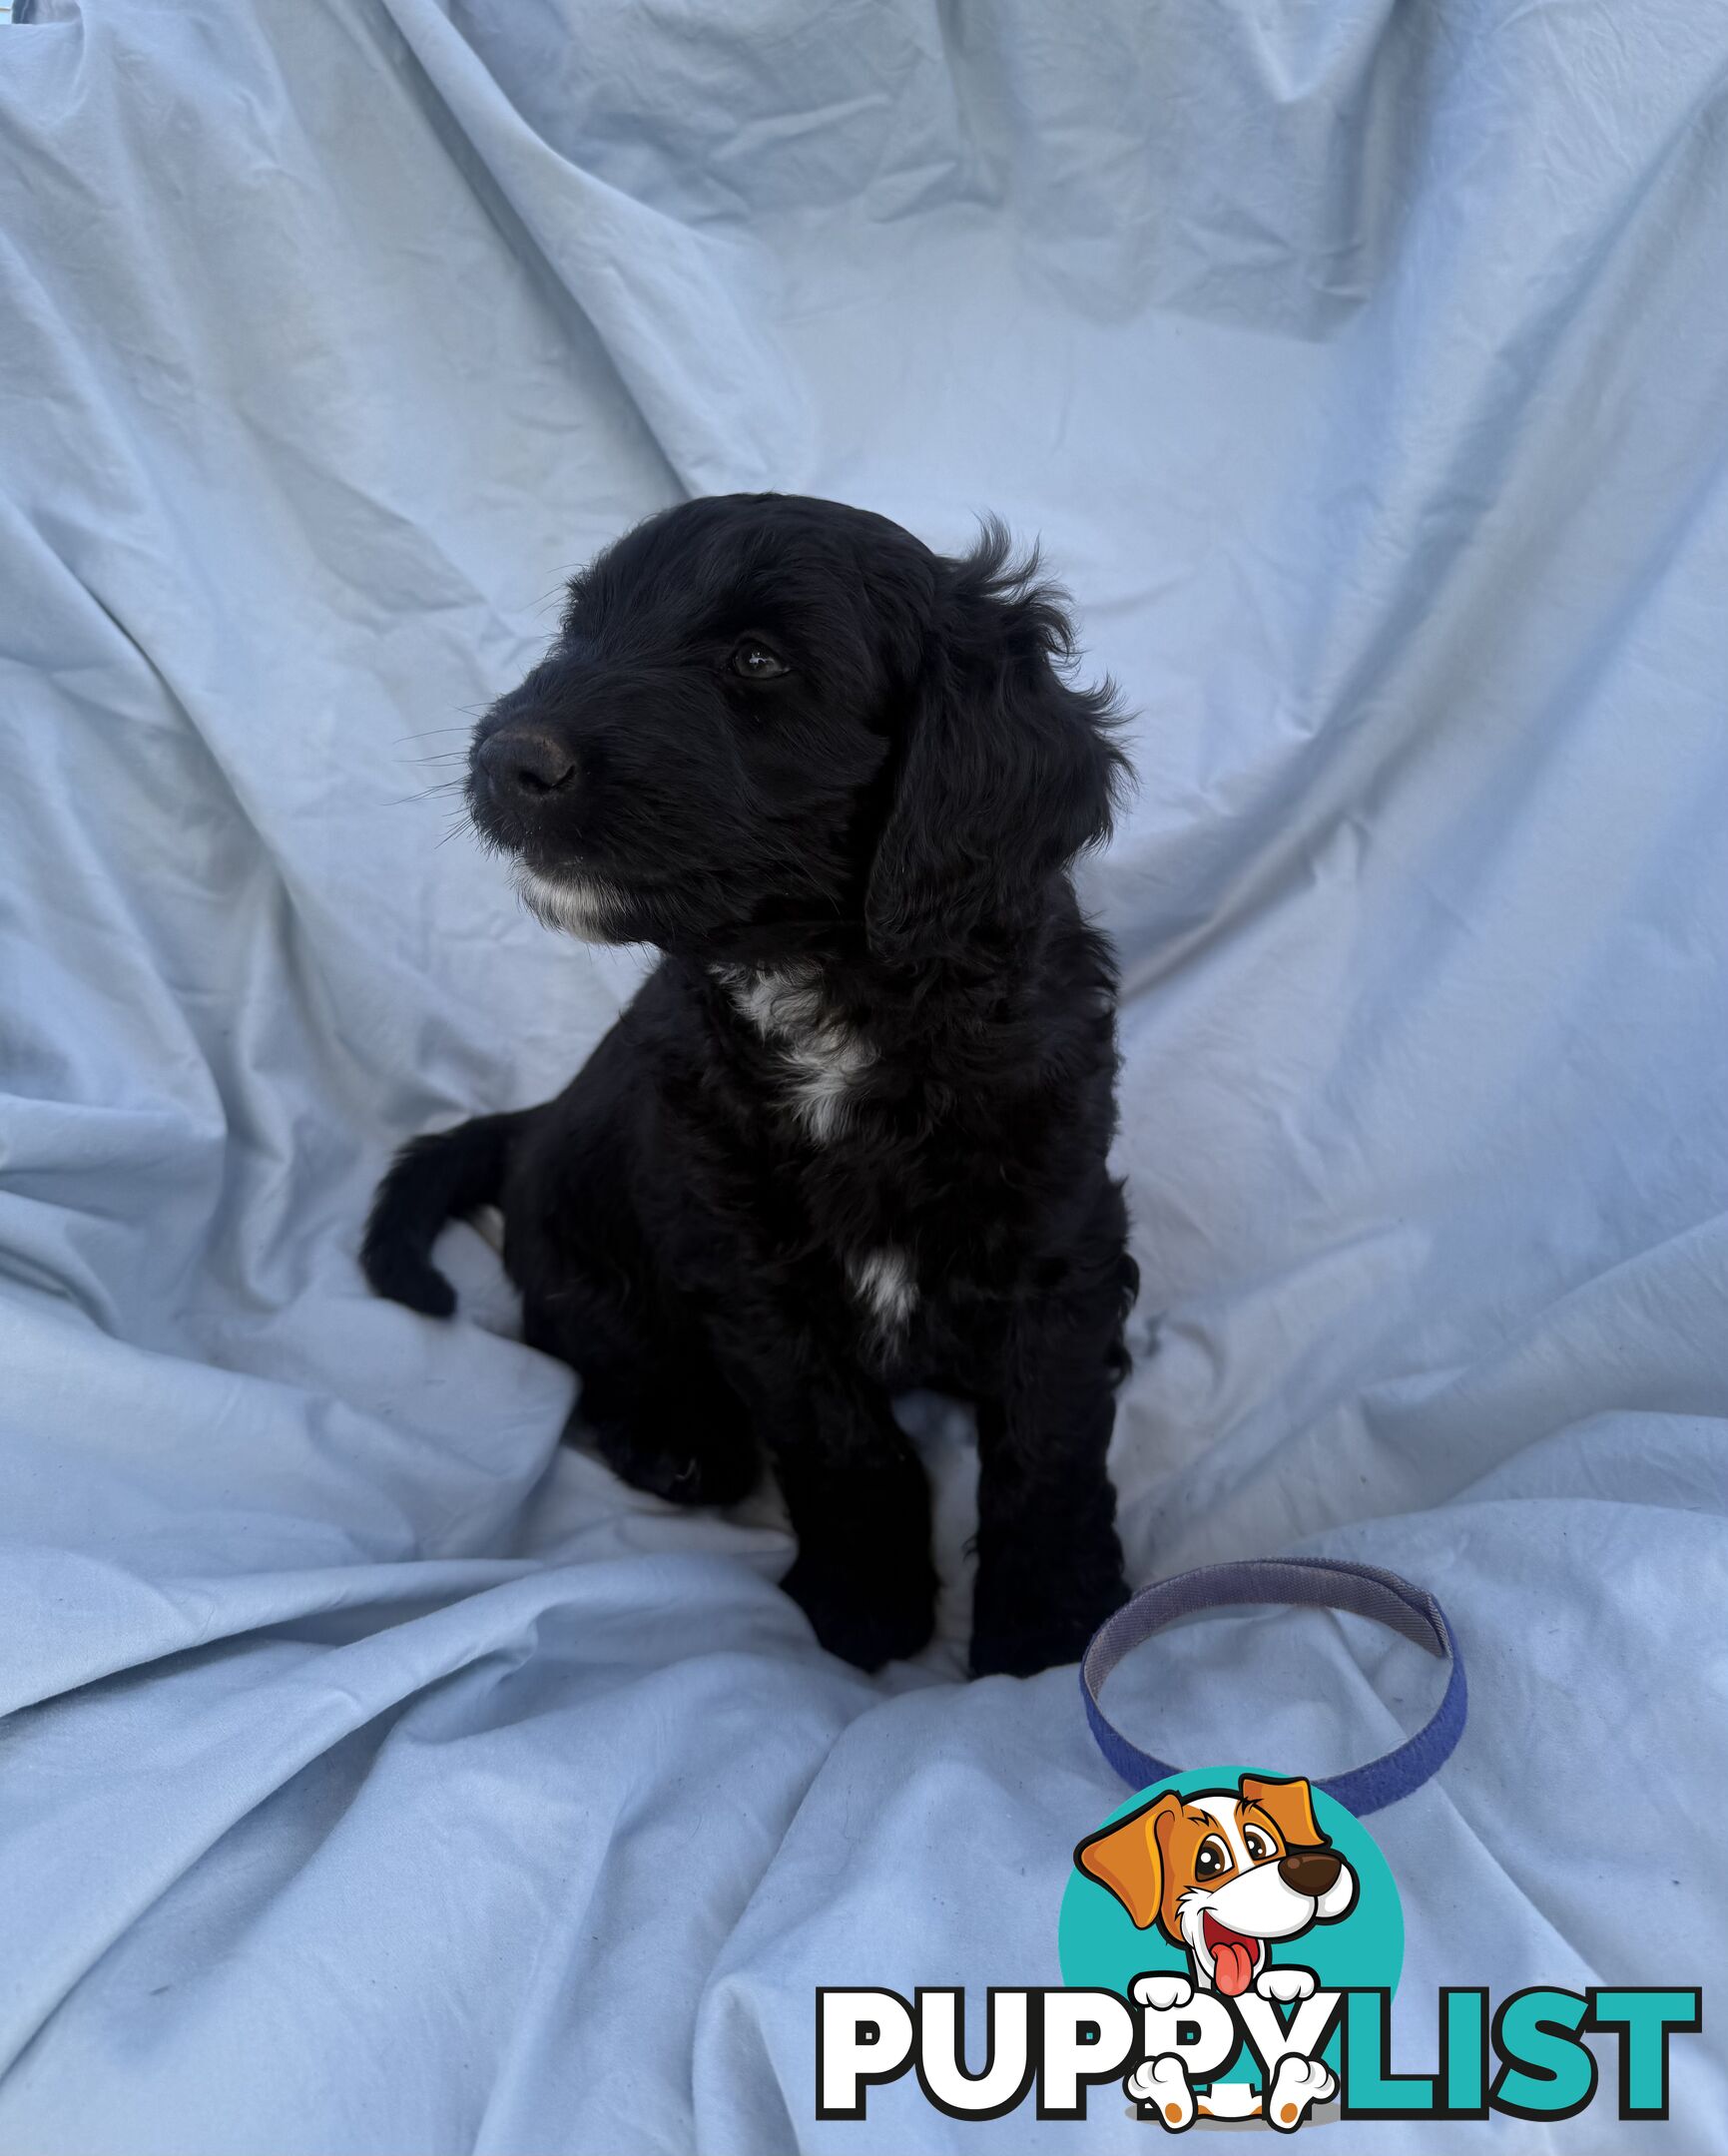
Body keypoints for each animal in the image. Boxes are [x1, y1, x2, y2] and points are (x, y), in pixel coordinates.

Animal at [364, 495, 1139, 1673]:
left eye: (757, 660)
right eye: (583, 626)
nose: (506, 757)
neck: (828, 994)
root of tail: (533, 1121)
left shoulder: (1055, 1226)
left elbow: (1050, 1435)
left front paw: (1046, 1625)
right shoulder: (743, 1263)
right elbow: (840, 1438)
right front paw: (867, 1604)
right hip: (585, 1252)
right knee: (581, 1336)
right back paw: (671, 1438)